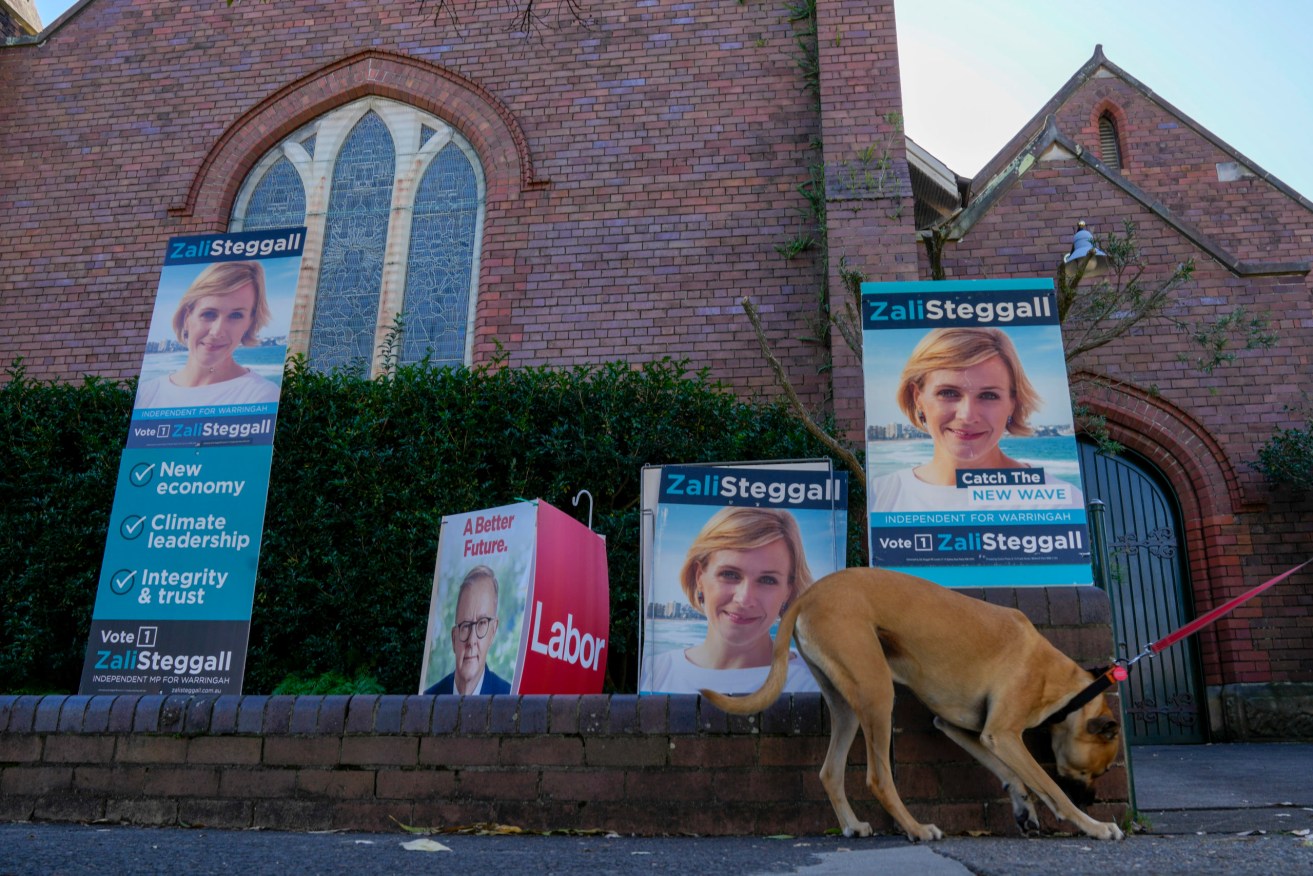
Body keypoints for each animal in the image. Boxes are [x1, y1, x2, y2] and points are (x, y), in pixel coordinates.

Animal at [703, 569, 1123, 840]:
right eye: (1098, 772)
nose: (1092, 800)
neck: (1062, 682)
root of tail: (809, 594)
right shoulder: (1002, 735)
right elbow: (1049, 787)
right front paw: (1095, 825)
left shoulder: (964, 729)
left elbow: (1011, 774)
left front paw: (1024, 806)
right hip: (877, 694)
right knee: (878, 779)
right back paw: (916, 829)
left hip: (847, 705)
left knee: (830, 771)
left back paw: (852, 825)